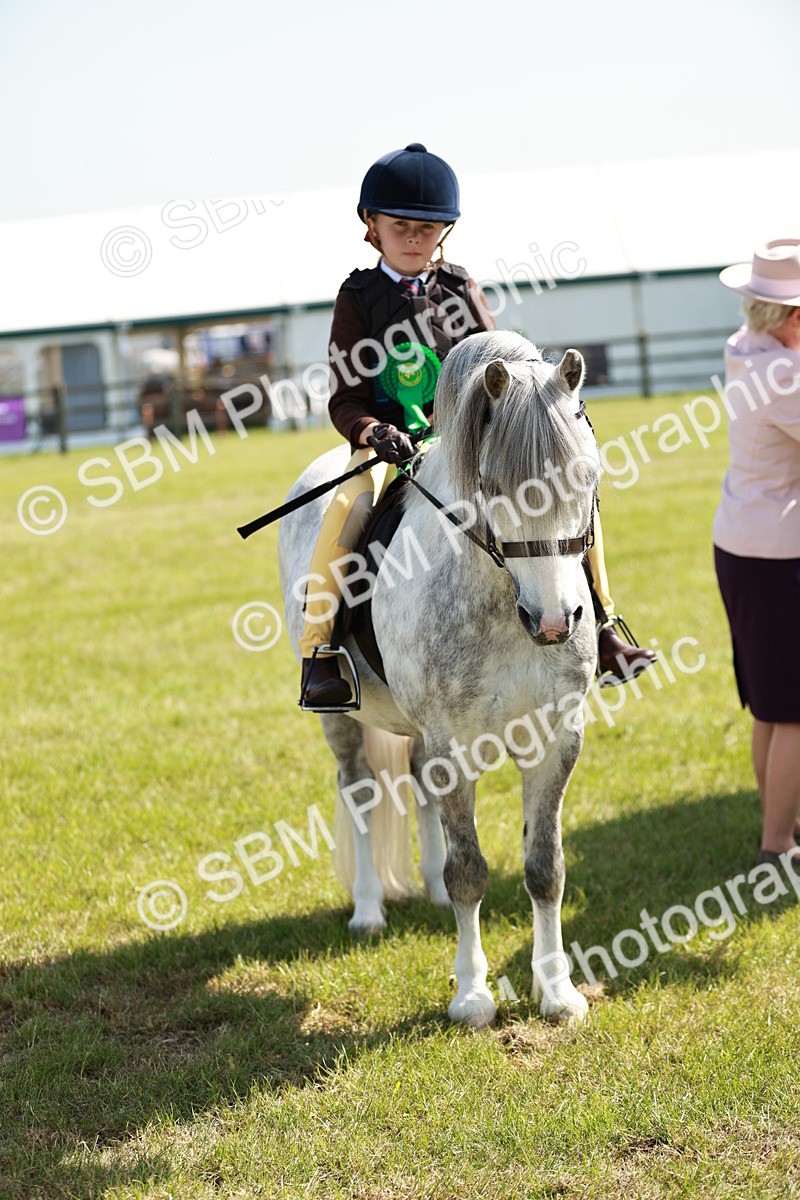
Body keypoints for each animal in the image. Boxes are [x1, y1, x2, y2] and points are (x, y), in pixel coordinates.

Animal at [278, 329, 600, 1027]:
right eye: (496, 485)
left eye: (587, 477)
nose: (556, 621)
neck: (504, 607)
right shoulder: (456, 745)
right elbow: (470, 871)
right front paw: (472, 995)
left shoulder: (557, 741)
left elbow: (546, 868)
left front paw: (557, 993)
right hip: (345, 721)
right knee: (361, 791)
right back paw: (369, 909)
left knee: (417, 786)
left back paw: (425, 889)